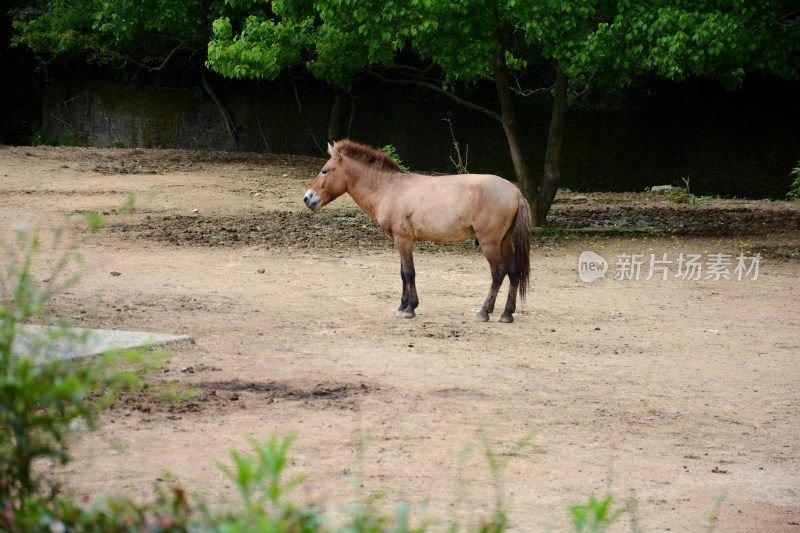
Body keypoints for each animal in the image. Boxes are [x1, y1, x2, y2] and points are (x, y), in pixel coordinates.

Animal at [306, 139, 532, 322]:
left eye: (325, 170)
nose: (307, 198)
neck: (389, 188)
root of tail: (515, 191)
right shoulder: (399, 240)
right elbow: (402, 273)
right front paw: (402, 306)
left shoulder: (404, 239)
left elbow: (409, 272)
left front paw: (409, 309)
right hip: (504, 241)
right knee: (513, 272)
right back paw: (507, 313)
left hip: (489, 243)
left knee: (498, 273)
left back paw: (484, 312)